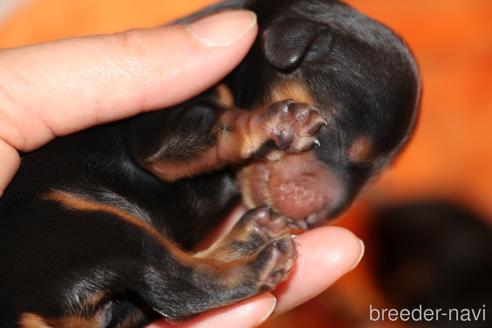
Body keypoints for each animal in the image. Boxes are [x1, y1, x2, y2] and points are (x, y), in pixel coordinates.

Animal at [0, 0, 420, 328]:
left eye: (377, 175)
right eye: (333, 137)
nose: (317, 219)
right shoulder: (157, 130)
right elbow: (223, 124)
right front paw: (274, 125)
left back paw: (252, 234)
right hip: (87, 224)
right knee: (174, 287)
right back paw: (259, 262)